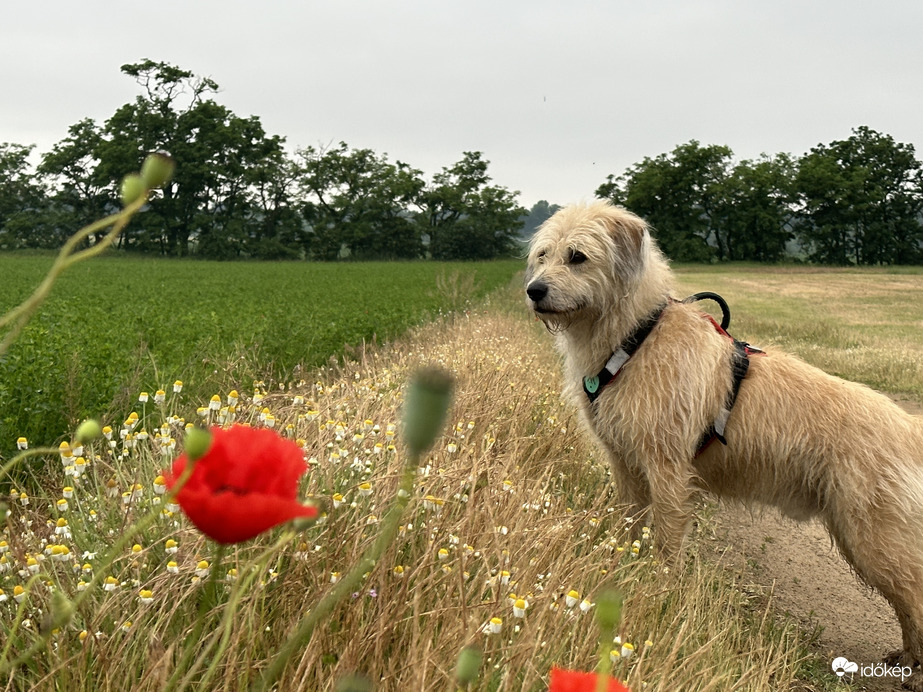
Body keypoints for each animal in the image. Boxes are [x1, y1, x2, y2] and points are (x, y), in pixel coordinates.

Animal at [532, 199, 923, 688]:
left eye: (577, 256)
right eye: (543, 255)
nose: (533, 290)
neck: (637, 338)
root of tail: (908, 426)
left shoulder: (667, 470)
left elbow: (666, 541)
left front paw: (660, 592)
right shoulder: (626, 466)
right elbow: (629, 529)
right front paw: (622, 572)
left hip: (874, 538)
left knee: (916, 595)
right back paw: (907, 657)